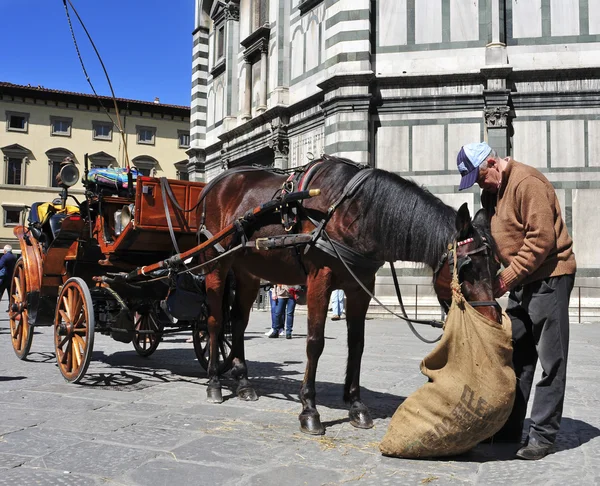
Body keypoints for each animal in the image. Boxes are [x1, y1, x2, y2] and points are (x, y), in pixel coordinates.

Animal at [197, 157, 502, 436]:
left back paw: (244, 383)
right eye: (465, 267)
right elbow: (315, 343)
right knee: (214, 322)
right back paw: (214, 382)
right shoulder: (318, 279)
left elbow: (357, 344)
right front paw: (309, 410)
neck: (355, 210)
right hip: (215, 264)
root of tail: (216, 183)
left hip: (247, 272)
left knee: (238, 322)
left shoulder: (360, 287)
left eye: (496, 265)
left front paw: (356, 405)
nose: (491, 319)